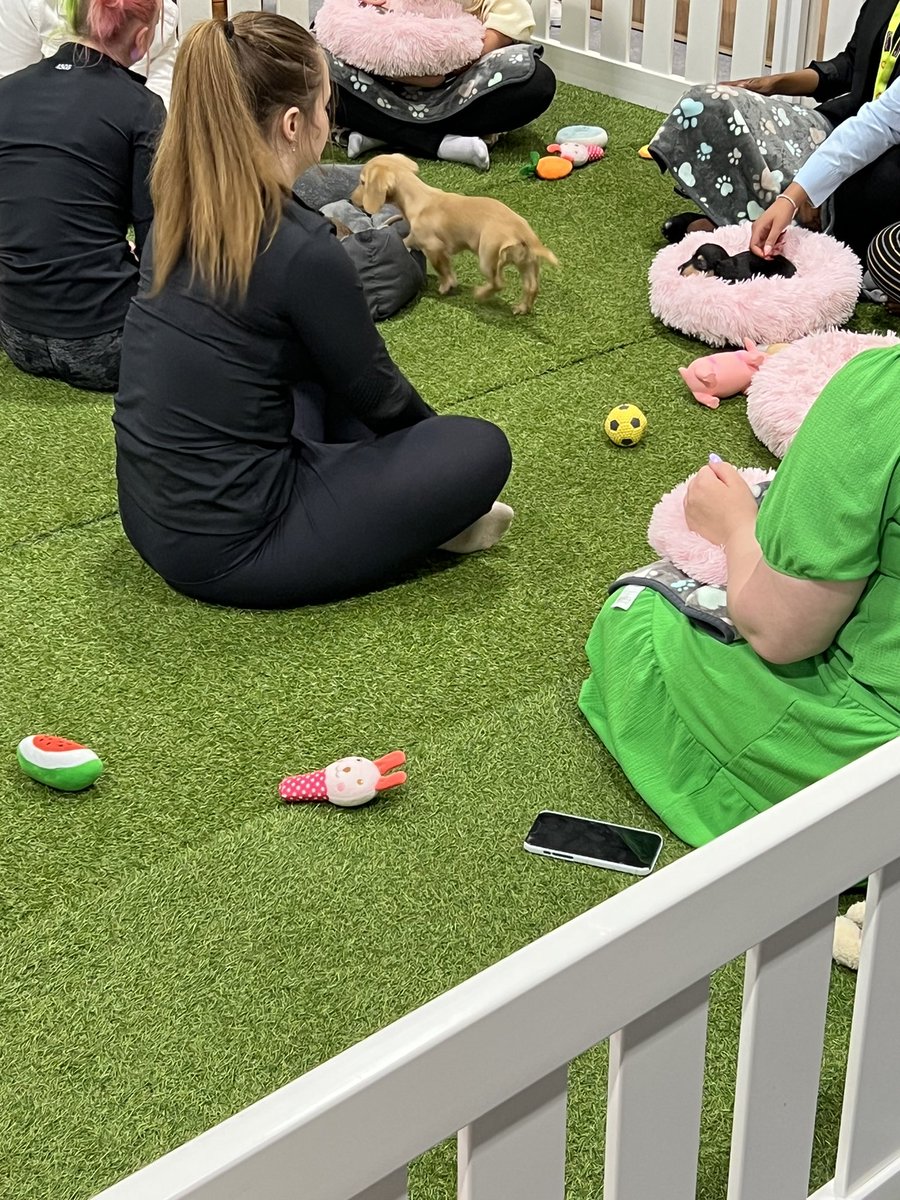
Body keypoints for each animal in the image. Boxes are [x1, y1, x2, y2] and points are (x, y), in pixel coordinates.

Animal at [352, 152, 556, 314]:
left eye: (362, 182)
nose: (352, 200)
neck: (418, 197)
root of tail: (521, 230)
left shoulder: (434, 247)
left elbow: (442, 269)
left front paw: (445, 286)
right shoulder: (423, 241)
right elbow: (408, 242)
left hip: (487, 257)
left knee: (499, 283)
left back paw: (480, 294)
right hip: (527, 262)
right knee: (532, 287)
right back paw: (522, 308)